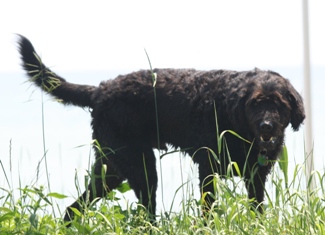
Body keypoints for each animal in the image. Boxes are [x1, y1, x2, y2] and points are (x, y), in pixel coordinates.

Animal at [17, 35, 304, 222]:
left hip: (111, 170)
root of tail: (100, 91)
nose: (267, 125)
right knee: (144, 215)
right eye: (256, 103)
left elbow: (257, 209)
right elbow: (208, 209)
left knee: (74, 209)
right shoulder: (207, 169)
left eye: (279, 104)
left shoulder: (256, 176)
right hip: (141, 169)